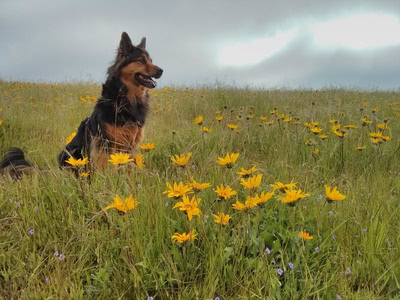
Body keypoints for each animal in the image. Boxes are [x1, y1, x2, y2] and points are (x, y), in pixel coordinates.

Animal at [0, 31, 162, 177]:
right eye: (141, 60)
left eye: (151, 60)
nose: (161, 71)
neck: (125, 98)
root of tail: (55, 171)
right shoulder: (105, 145)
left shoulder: (131, 147)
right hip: (70, 153)